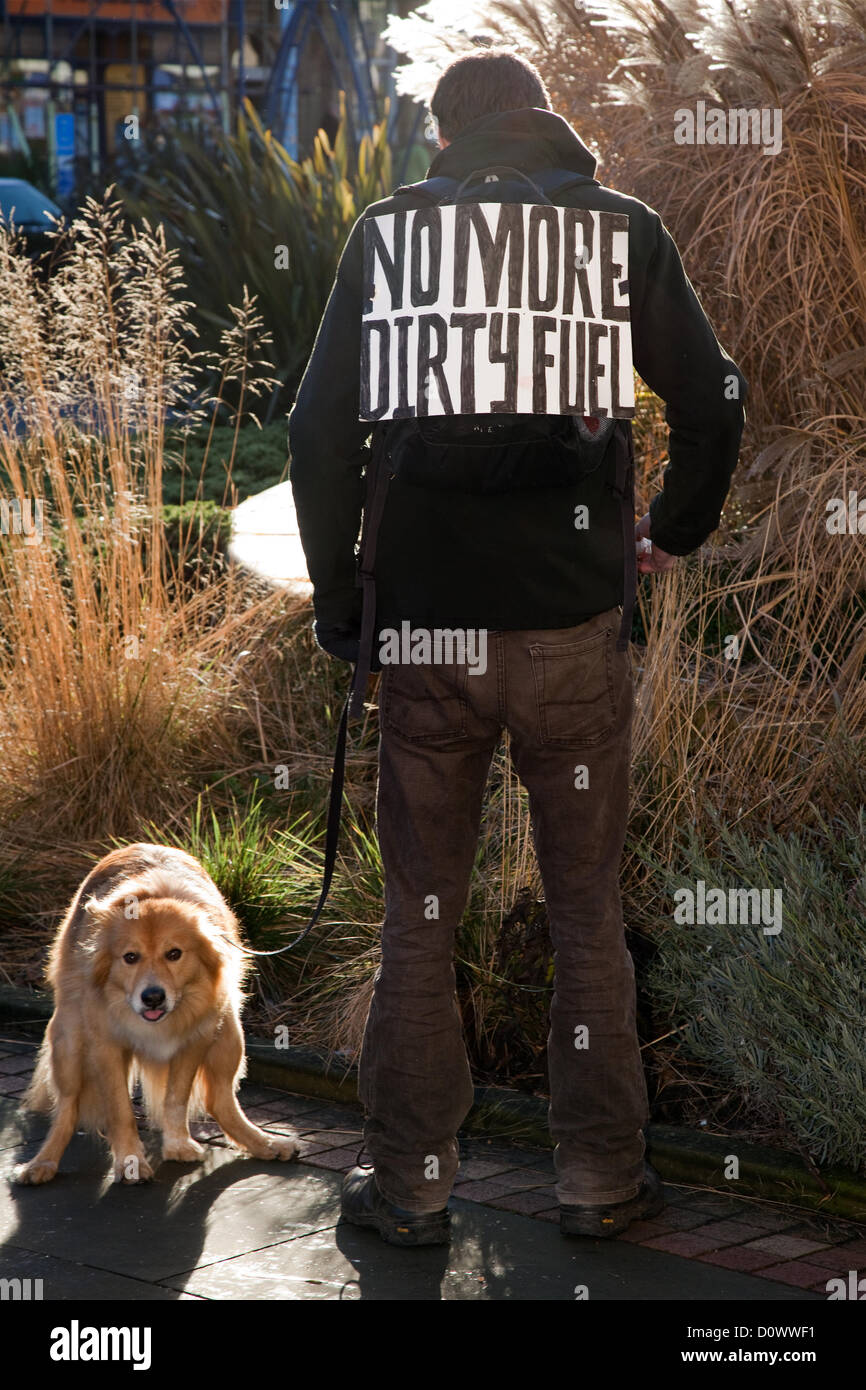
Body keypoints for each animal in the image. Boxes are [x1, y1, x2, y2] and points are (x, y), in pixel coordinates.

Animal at [15, 845, 300, 1184]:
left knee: (221, 1100)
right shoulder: (106, 1046)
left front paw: (177, 1145)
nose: (152, 997)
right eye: (130, 957)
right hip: (69, 1041)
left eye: (174, 954)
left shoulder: (194, 1038)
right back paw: (42, 1163)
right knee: (67, 1108)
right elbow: (120, 1110)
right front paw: (130, 1161)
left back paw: (265, 1143)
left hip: (230, 1031)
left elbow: (176, 1099)